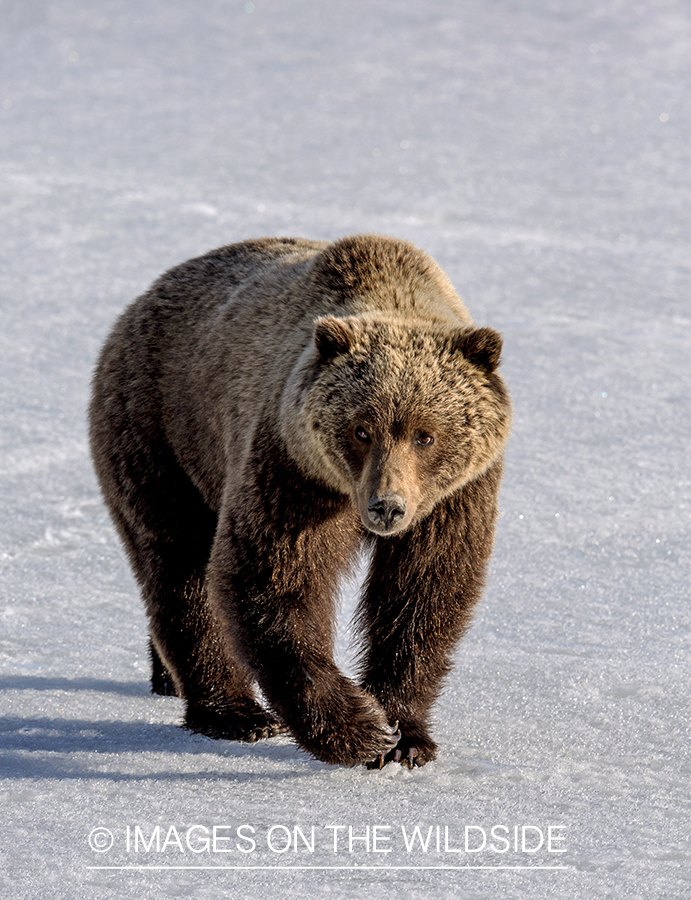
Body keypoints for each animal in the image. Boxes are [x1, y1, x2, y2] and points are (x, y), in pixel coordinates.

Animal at [89, 234, 511, 768]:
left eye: (426, 434)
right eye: (361, 429)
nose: (387, 506)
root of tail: (139, 302)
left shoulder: (454, 499)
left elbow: (423, 593)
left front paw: (404, 736)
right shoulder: (292, 473)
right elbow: (271, 582)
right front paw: (359, 730)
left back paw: (166, 678)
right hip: (162, 433)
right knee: (178, 563)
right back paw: (234, 713)